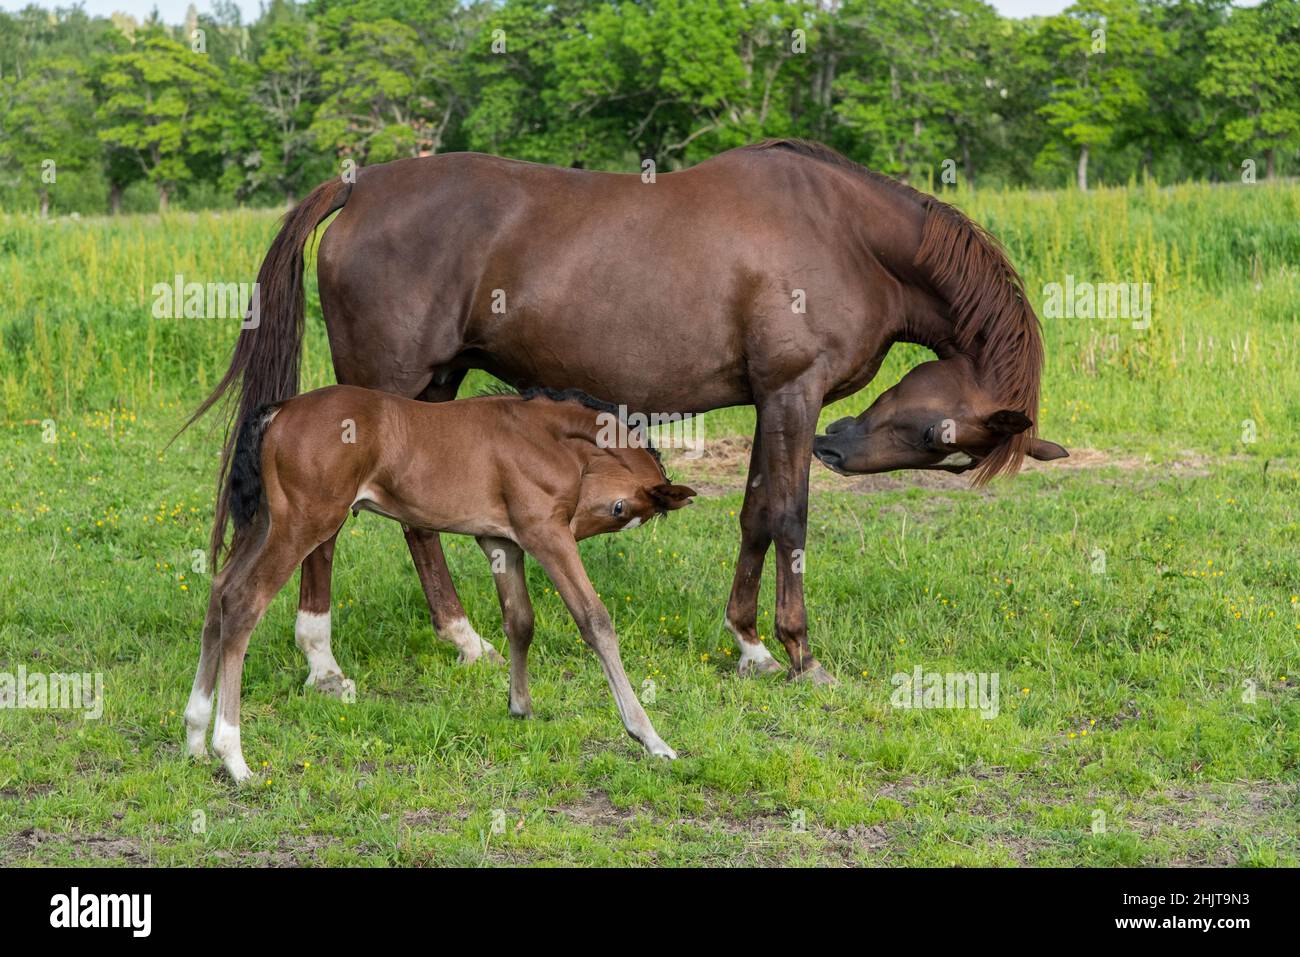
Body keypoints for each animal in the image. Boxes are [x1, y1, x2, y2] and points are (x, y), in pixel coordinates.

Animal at [184, 384, 696, 781]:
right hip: (303, 524)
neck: (542, 435)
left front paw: (521, 708)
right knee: (244, 602)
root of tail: (281, 409)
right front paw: (650, 737)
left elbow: (520, 621)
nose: (576, 524)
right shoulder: (544, 532)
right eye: (620, 509)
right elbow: (594, 620)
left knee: (220, 592)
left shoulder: (501, 540)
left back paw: (194, 736)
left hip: (267, 522)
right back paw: (233, 757)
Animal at [188, 138, 1064, 689]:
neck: (845, 234)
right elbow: (789, 516)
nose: (838, 448)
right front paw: (799, 652)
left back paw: (464, 638)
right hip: (375, 397)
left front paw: (748, 643)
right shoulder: (794, 392)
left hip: (432, 390)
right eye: (937, 435)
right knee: (330, 529)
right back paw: (324, 661)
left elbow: (754, 512)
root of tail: (359, 187)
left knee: (416, 521)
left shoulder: (770, 400)